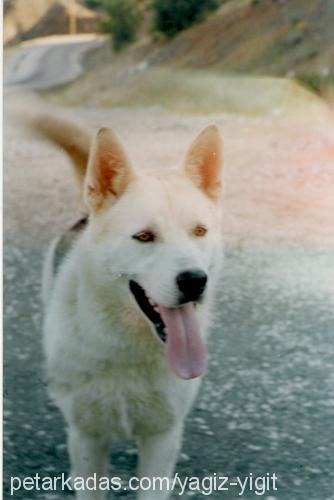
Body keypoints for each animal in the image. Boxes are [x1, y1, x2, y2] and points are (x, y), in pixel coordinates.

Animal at [36, 116, 223, 496]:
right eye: (144, 237)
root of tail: (85, 215)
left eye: (199, 231)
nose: (195, 281)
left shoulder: (162, 437)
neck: (128, 348)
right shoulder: (88, 439)